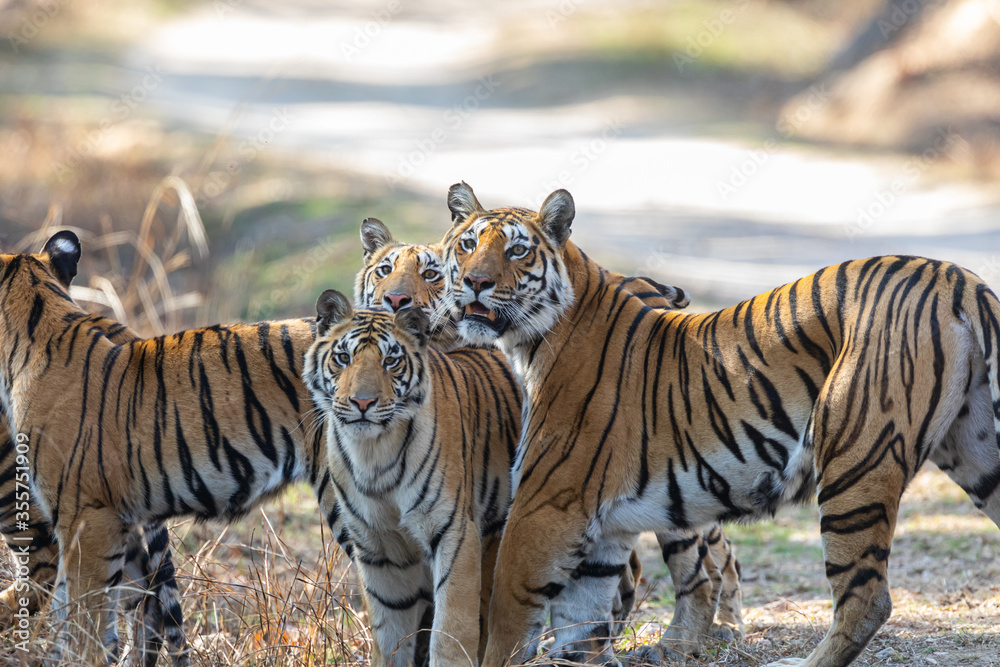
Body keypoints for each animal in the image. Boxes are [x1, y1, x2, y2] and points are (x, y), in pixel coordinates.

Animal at [303, 290, 522, 667]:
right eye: (344, 358)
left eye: (391, 361)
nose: (363, 402)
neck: (373, 454)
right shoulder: (377, 545)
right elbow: (389, 632)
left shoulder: (453, 531)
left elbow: (451, 628)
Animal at [440, 182, 1000, 667]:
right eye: (467, 244)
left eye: (517, 251)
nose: (475, 283)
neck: (533, 341)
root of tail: (958, 278)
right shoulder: (604, 533)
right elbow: (581, 631)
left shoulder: (545, 507)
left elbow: (506, 624)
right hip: (978, 454)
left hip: (856, 459)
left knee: (867, 597)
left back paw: (799, 662)